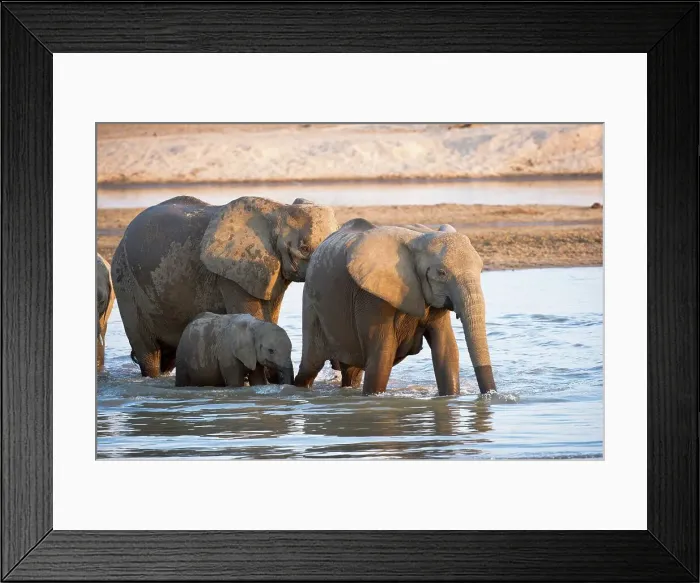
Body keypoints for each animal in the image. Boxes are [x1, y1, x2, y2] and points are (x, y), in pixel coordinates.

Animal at [294, 218, 497, 396]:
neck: (418, 238)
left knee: (352, 372)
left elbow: (446, 351)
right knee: (310, 366)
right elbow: (382, 357)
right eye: (441, 273)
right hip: (311, 303)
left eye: (480, 269)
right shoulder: (372, 297)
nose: (490, 395)